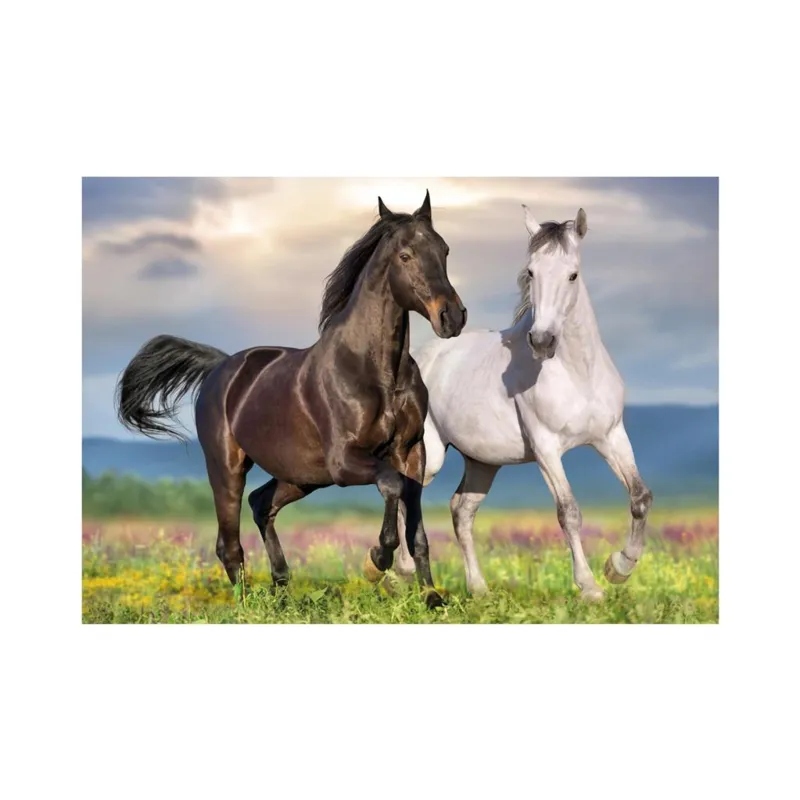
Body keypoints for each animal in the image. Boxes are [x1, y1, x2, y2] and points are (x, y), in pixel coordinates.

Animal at [115, 191, 467, 608]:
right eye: (405, 255)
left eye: (444, 250)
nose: (452, 317)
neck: (378, 372)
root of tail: (221, 367)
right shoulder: (345, 461)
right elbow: (390, 486)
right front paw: (375, 561)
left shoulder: (411, 453)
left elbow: (418, 534)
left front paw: (432, 599)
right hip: (228, 468)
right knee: (229, 542)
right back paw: (247, 603)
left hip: (301, 476)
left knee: (260, 504)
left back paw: (282, 585)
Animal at [394, 205, 652, 601]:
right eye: (531, 272)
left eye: (573, 274)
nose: (542, 341)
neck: (577, 373)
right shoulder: (546, 448)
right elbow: (568, 511)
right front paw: (590, 587)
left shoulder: (610, 436)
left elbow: (639, 497)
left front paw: (618, 568)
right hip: (431, 455)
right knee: (405, 493)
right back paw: (402, 570)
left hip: (483, 462)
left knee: (461, 510)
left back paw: (478, 588)